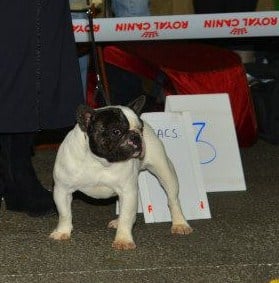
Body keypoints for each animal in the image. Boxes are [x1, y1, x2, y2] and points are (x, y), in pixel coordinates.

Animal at [49, 97, 192, 251]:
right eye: (116, 131)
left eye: (140, 128)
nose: (136, 136)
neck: (99, 161)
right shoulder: (62, 190)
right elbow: (64, 214)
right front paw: (62, 231)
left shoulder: (128, 192)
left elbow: (126, 217)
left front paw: (123, 239)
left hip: (165, 171)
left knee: (173, 200)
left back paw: (180, 223)